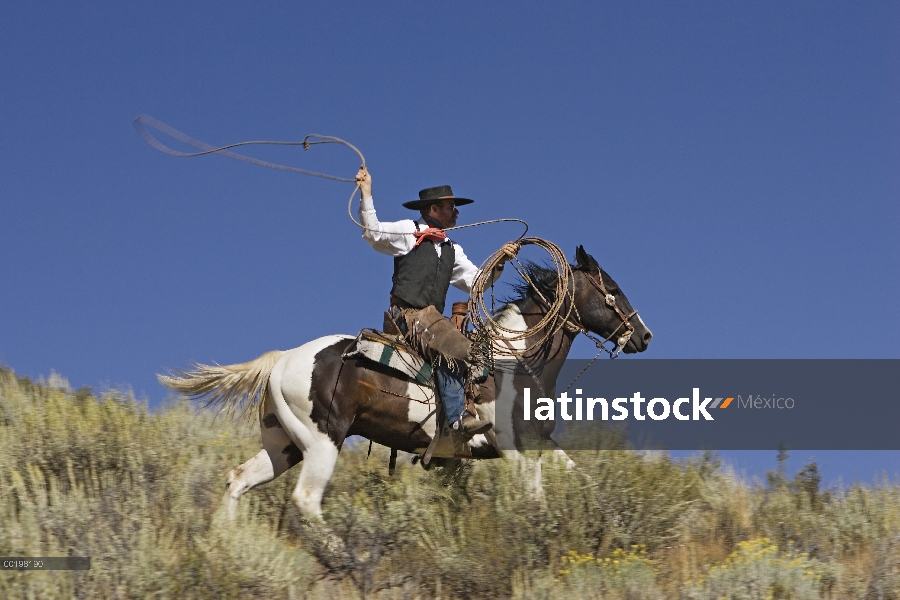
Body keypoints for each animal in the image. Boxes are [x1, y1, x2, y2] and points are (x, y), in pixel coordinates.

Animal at [162, 246, 652, 516]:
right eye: (611, 289)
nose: (644, 336)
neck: (512, 362)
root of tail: (283, 360)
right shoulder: (514, 448)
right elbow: (535, 498)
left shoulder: (536, 444)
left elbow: (580, 477)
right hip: (322, 442)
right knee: (306, 499)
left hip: (284, 444)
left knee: (239, 480)